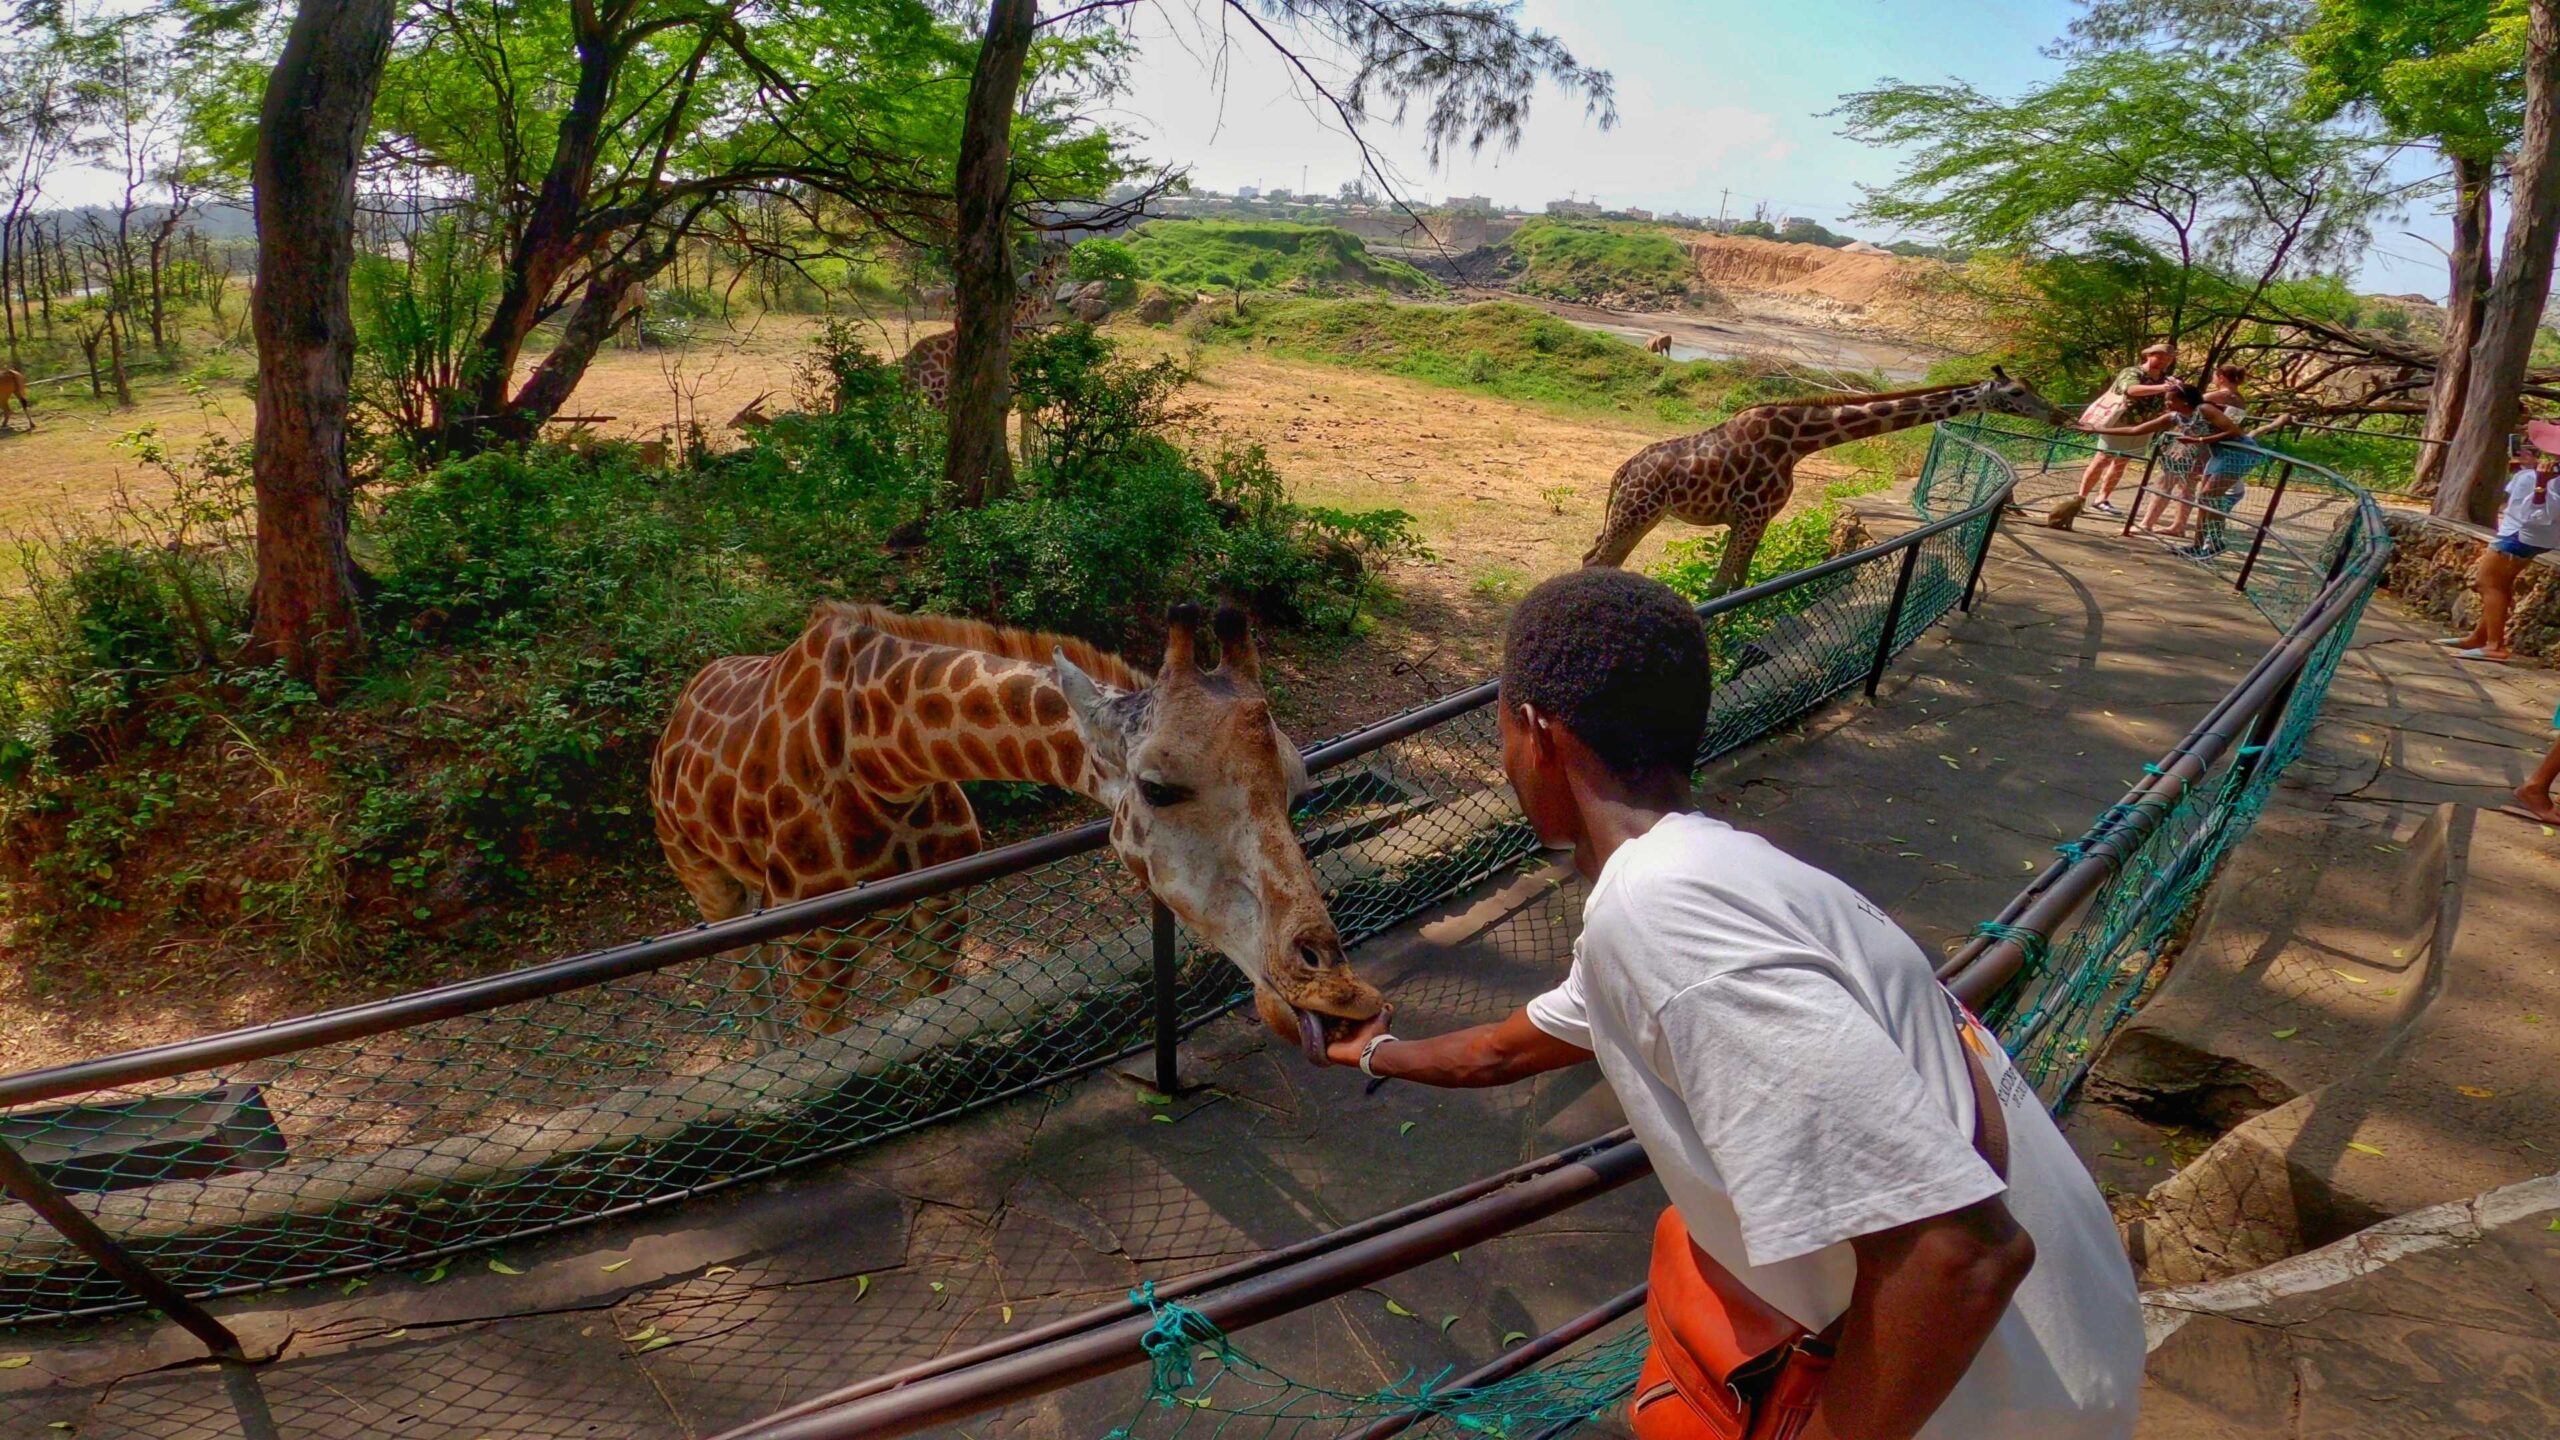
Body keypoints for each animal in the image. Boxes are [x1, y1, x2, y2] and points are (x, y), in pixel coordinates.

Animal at [650, 594, 1392, 1055]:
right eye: (1156, 788)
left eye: (1298, 786)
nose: (1339, 992)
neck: (882, 760)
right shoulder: (815, 948)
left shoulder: (940, 918)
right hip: (708, 881)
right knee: (746, 973)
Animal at [1566, 376, 2068, 594]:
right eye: (2017, 392)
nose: (2060, 414)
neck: (1801, 441)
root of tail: (1622, 471)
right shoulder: (1750, 514)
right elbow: (1721, 586)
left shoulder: (1758, 519)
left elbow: (1738, 582)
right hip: (1639, 510)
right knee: (1599, 559)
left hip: (1637, 512)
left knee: (1597, 558)